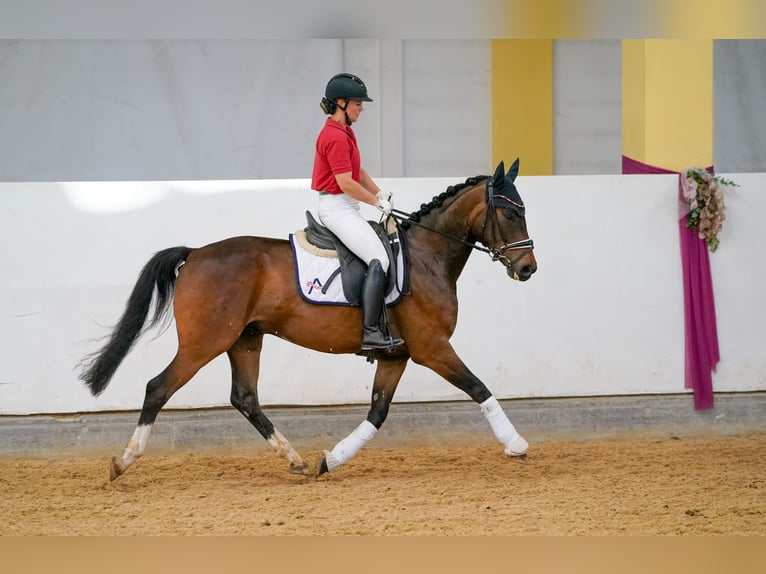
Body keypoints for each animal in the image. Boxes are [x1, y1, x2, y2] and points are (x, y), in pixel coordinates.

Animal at [78, 159, 537, 481]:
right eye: (510, 214)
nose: (528, 268)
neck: (428, 255)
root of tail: (194, 254)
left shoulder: (397, 356)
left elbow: (377, 413)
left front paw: (330, 459)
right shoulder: (433, 349)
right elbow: (479, 388)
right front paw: (516, 444)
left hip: (245, 339)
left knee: (245, 398)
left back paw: (296, 460)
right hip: (204, 343)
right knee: (158, 388)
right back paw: (123, 461)